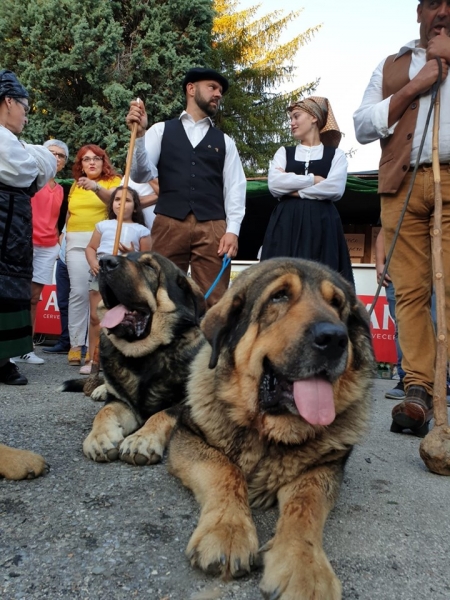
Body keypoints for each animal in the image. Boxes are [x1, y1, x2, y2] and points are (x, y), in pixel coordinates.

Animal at [60, 252, 205, 464]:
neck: (143, 356)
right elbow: (105, 411)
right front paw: (100, 437)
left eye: (149, 266)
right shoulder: (122, 403)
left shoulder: (188, 405)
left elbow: (164, 413)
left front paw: (142, 438)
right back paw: (100, 389)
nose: (105, 262)